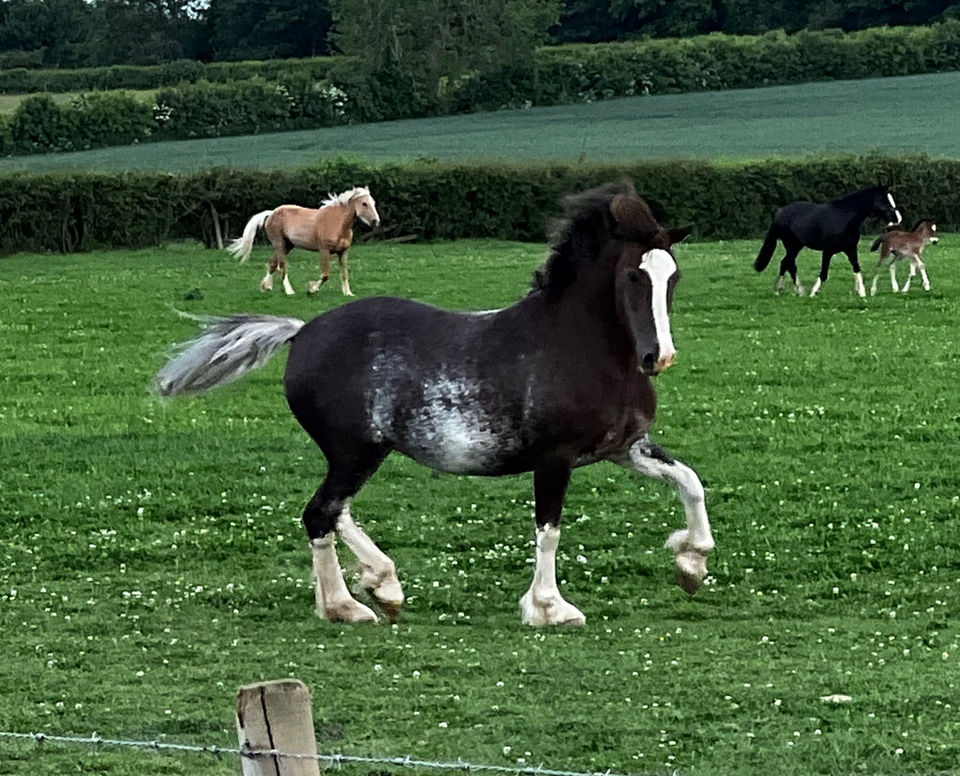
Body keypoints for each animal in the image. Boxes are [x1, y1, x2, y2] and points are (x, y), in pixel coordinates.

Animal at [227, 186, 380, 297]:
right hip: (279, 245)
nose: (376, 221)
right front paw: (312, 289)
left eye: (373, 203)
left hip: (287, 246)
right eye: (364, 204)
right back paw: (289, 291)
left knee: (272, 264)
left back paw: (266, 287)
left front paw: (348, 293)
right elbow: (325, 275)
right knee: (281, 267)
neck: (337, 223)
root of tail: (271, 213)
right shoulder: (324, 251)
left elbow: (344, 274)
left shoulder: (343, 252)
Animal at [753, 184, 902, 298]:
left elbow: (856, 268)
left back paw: (787, 289)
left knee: (786, 263)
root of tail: (780, 212)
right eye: (884, 201)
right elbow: (824, 273)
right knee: (788, 263)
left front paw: (862, 292)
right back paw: (792, 290)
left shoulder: (850, 249)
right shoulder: (828, 251)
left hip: (796, 247)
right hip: (792, 246)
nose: (898, 218)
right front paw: (813, 292)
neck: (844, 219)